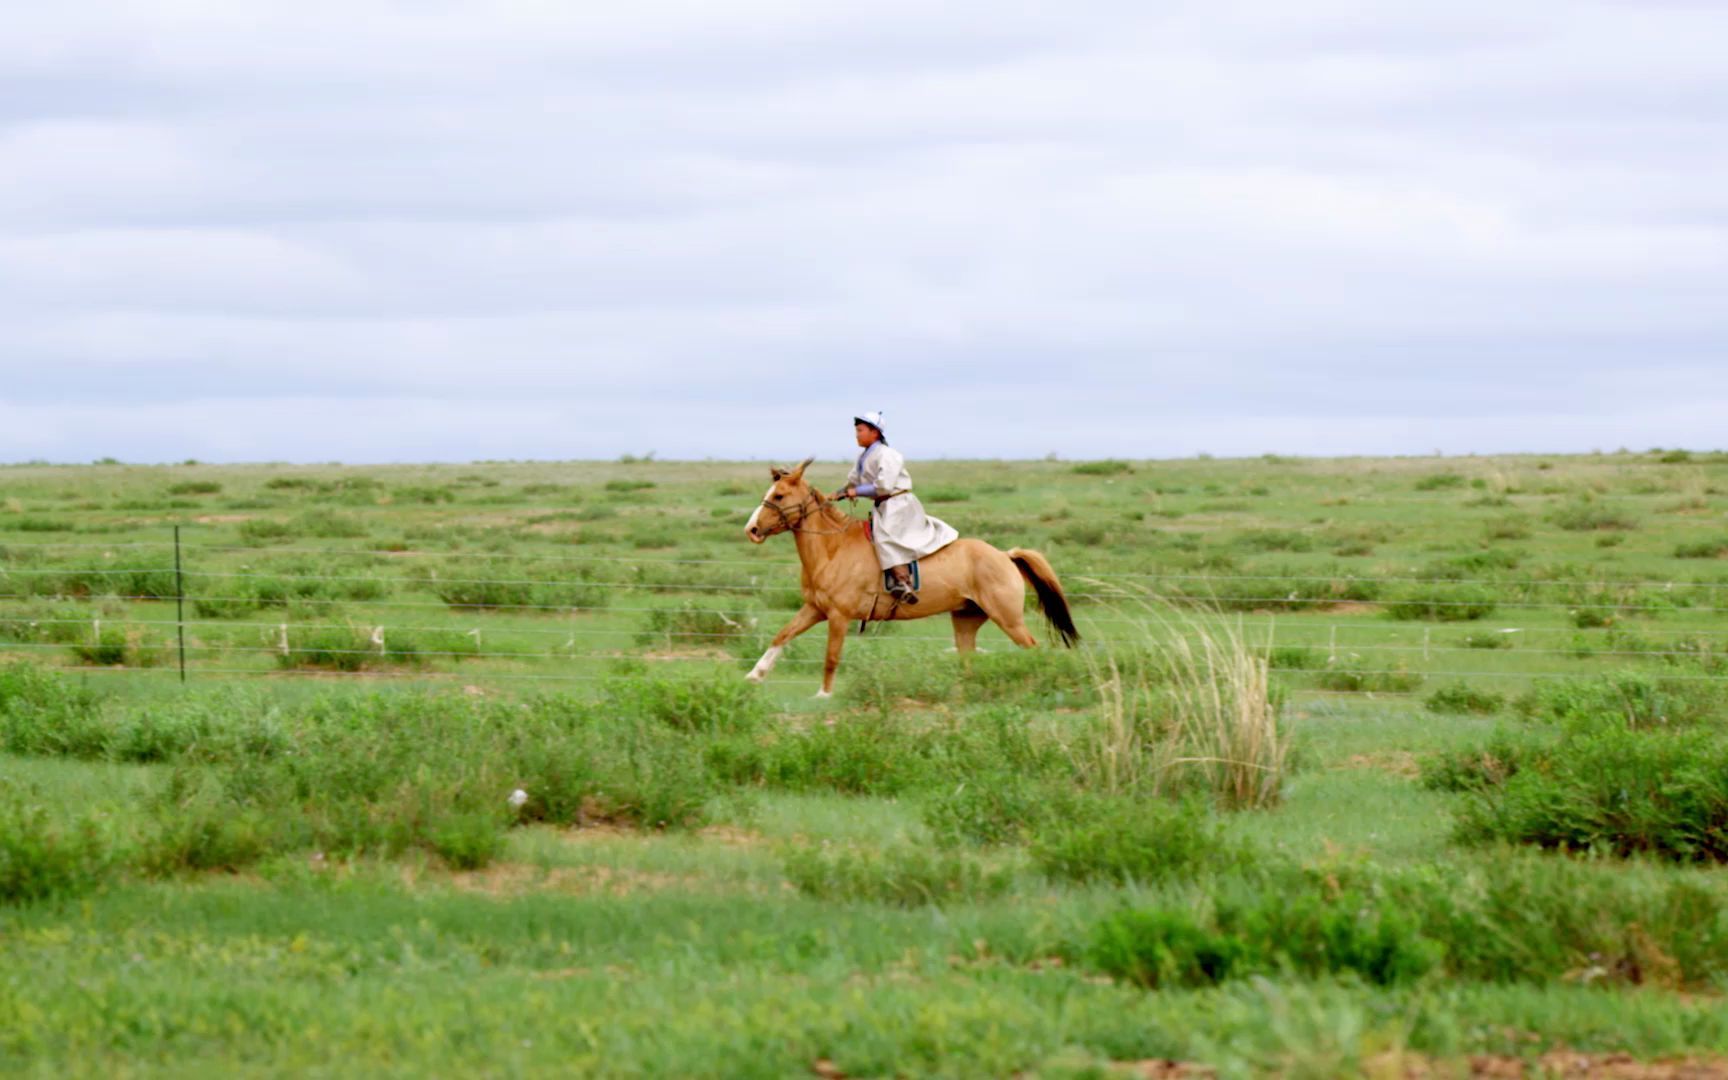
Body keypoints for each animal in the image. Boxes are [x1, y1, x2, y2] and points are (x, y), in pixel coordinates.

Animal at [743, 452, 1078, 691]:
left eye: (779, 496)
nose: (752, 530)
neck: (832, 548)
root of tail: (1005, 555)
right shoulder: (815, 608)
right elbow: (782, 635)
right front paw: (754, 675)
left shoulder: (839, 615)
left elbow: (831, 657)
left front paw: (823, 696)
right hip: (966, 619)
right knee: (969, 658)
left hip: (1008, 619)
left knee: (1033, 648)